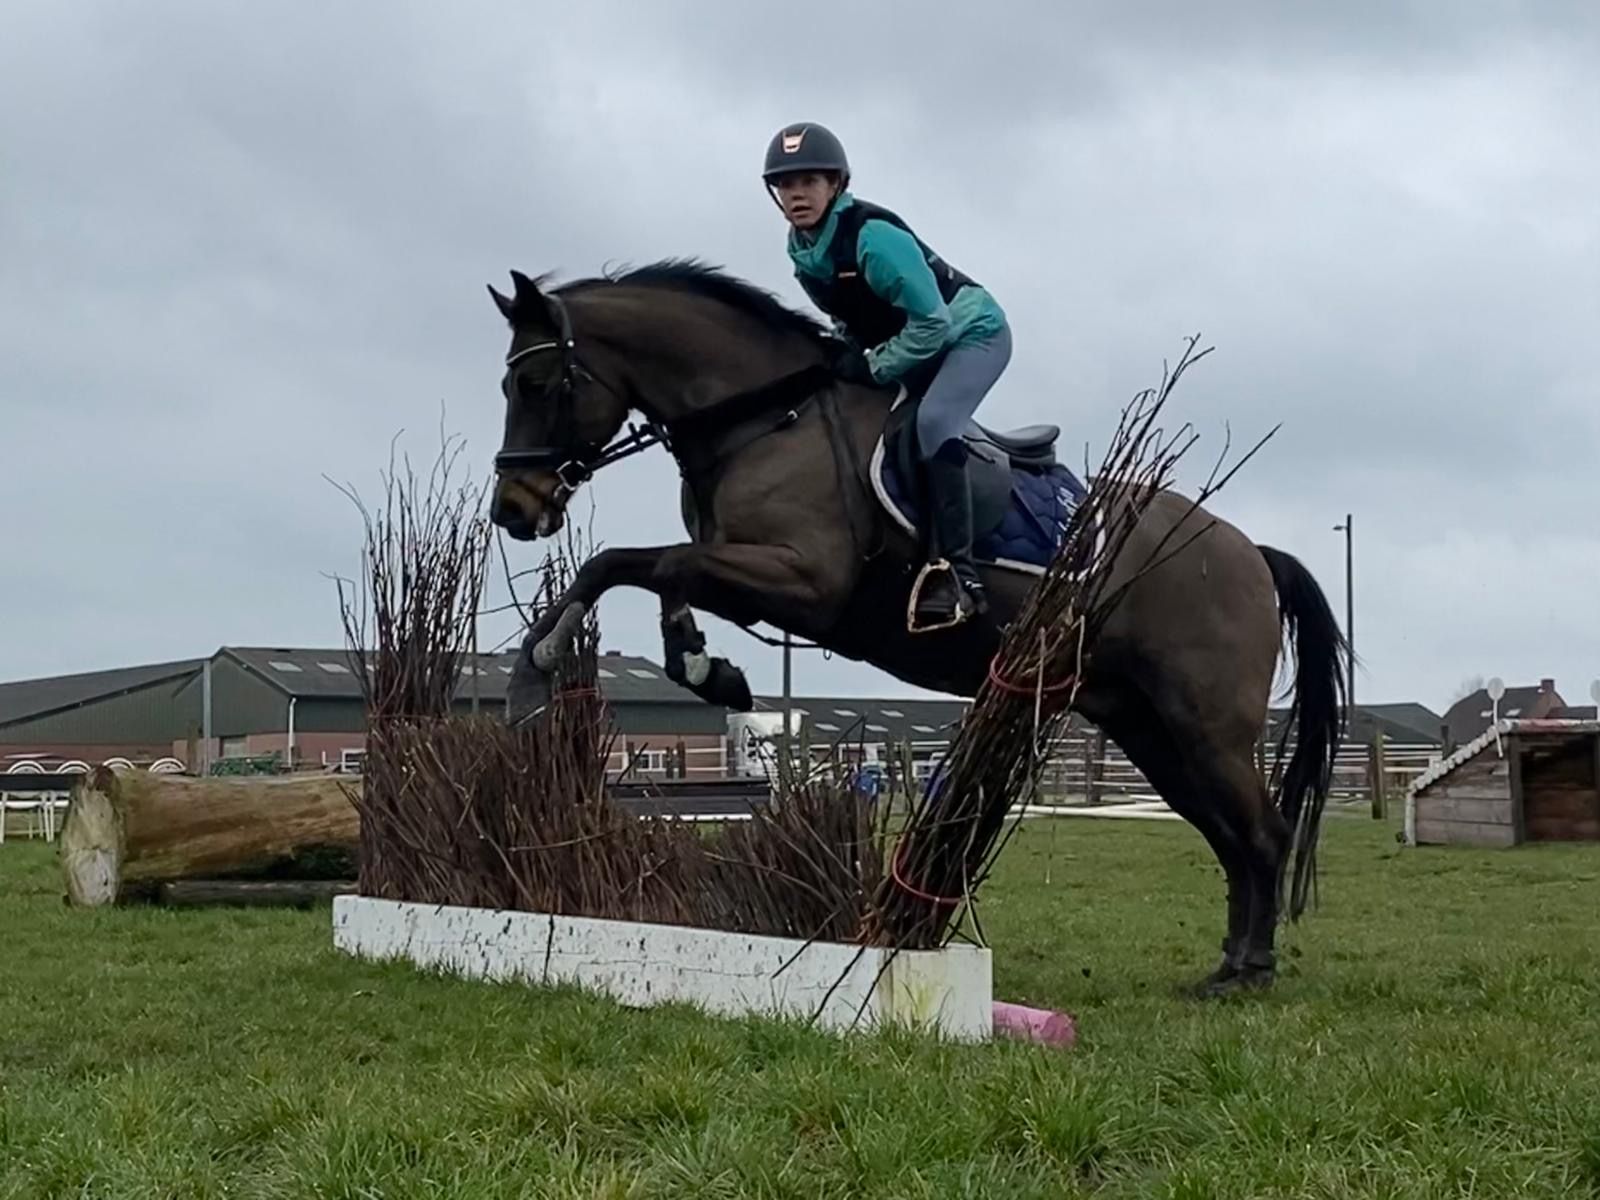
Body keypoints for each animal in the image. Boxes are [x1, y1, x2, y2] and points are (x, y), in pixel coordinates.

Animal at [485, 260, 1346, 996]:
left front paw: (536, 666)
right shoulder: (743, 570)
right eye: (507, 382)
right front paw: (705, 668)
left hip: (1206, 725)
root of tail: (1248, 551)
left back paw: (1252, 970)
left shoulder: (800, 579)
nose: (513, 511)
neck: (767, 419)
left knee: (1262, 834)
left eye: (535, 382)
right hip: (1147, 728)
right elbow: (661, 573)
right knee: (1230, 837)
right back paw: (1229, 962)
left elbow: (627, 562)